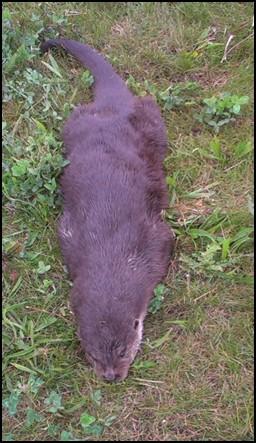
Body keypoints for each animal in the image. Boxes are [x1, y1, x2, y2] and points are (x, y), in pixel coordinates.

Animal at [41, 39, 174, 382]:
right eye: (93, 354)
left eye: (124, 351)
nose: (112, 376)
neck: (112, 250)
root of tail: (113, 104)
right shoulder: (70, 237)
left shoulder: (156, 239)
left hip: (149, 117)